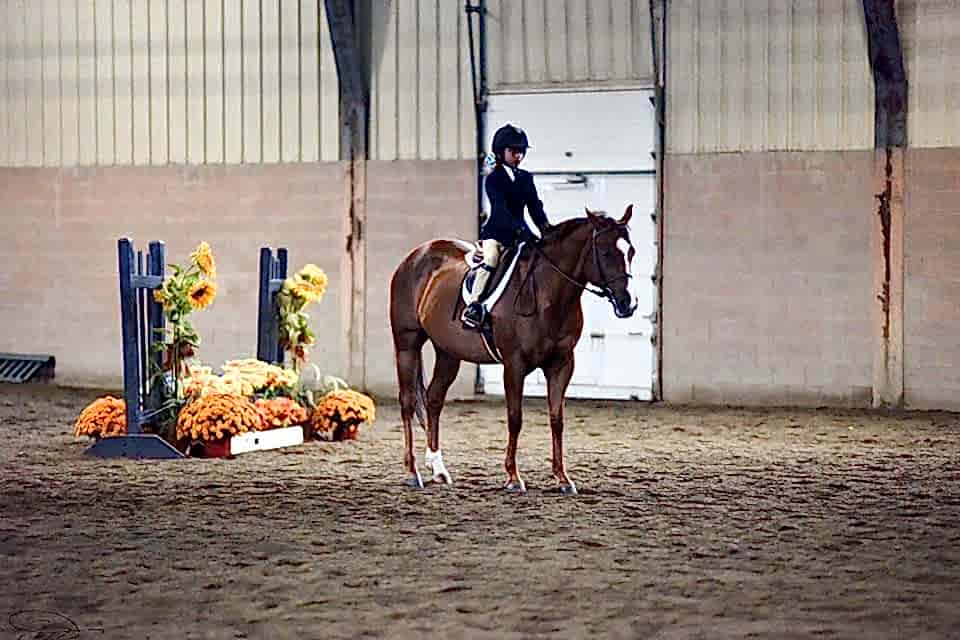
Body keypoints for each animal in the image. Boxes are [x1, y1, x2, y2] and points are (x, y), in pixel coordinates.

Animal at [388, 205, 638, 494]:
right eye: (606, 253)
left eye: (631, 252)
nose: (628, 303)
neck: (547, 294)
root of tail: (416, 255)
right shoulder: (514, 364)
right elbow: (515, 418)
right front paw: (513, 477)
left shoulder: (562, 364)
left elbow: (557, 419)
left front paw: (563, 479)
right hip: (407, 343)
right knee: (408, 402)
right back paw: (412, 472)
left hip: (448, 352)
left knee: (433, 399)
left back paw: (439, 470)